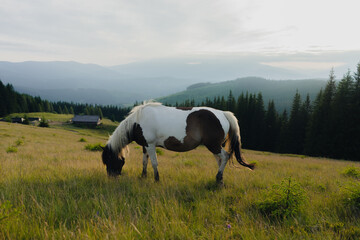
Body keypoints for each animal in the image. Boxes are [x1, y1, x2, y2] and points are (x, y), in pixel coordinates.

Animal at [101, 102, 253, 183]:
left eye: (109, 160)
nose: (111, 177)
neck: (137, 121)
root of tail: (223, 114)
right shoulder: (145, 145)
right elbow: (144, 162)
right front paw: (143, 176)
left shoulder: (150, 144)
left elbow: (154, 163)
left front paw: (156, 179)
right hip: (215, 146)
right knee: (220, 160)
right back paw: (219, 180)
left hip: (213, 145)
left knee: (225, 157)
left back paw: (219, 177)